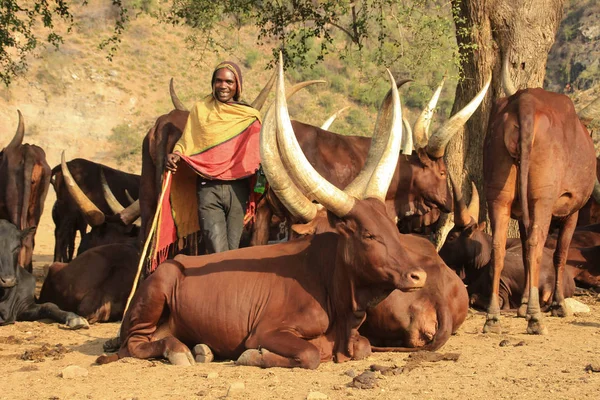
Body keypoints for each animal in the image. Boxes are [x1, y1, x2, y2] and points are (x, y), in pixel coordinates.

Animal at [482, 57, 596, 334]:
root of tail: (525, 102)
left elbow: (523, 250)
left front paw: (523, 304)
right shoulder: (572, 211)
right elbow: (560, 254)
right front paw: (557, 305)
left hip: (499, 195)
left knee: (499, 245)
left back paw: (493, 317)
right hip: (542, 200)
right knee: (537, 244)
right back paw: (535, 317)